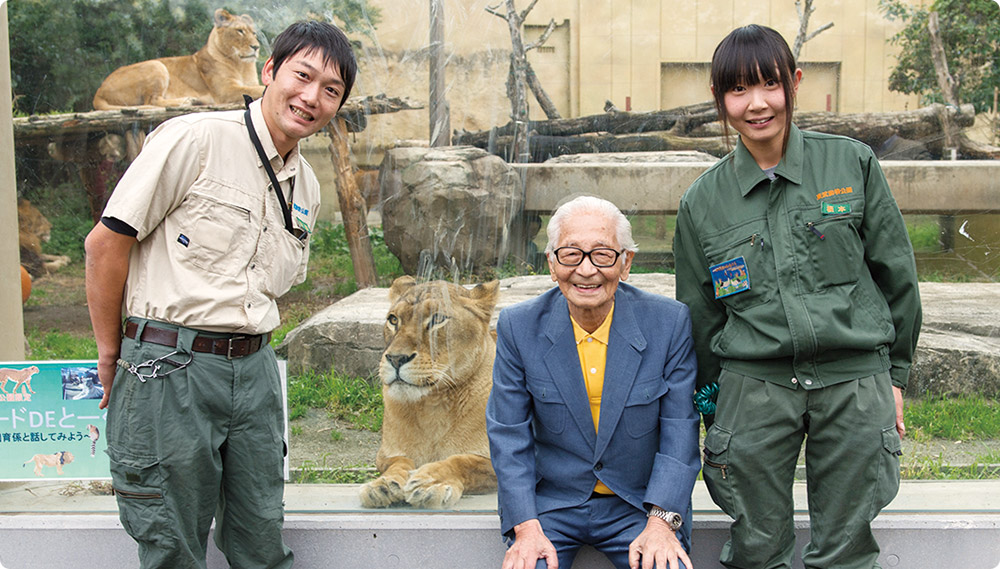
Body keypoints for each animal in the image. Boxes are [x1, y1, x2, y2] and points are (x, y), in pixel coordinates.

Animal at [92, 8, 264, 110]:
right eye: (240, 31)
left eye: (254, 33)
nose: (256, 47)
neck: (241, 65)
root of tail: (99, 90)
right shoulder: (225, 91)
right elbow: (258, 89)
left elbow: (255, 87)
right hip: (156, 65)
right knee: (151, 101)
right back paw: (187, 101)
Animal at [360, 276, 500, 510]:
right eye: (393, 319)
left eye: (437, 319)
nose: (396, 358)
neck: (433, 405)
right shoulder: (384, 455)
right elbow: (399, 462)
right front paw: (384, 485)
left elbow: (462, 462)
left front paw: (431, 483)